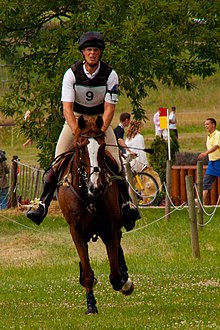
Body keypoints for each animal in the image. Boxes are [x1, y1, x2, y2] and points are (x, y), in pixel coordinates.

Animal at [56, 114, 134, 314]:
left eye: (103, 146)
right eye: (80, 147)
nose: (95, 186)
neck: (89, 196)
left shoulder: (110, 229)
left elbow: (114, 275)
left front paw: (124, 281)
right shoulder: (76, 232)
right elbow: (87, 273)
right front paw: (91, 305)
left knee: (118, 248)